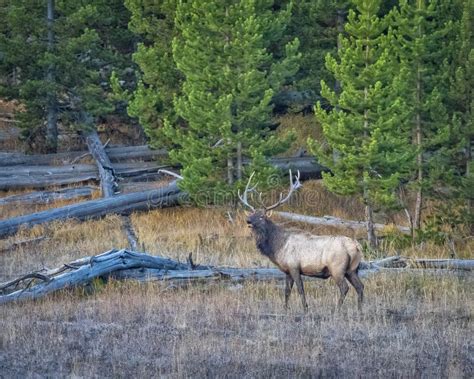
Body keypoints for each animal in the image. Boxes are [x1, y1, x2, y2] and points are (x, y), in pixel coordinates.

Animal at [239, 171, 364, 312]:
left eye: (261, 216)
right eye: (252, 213)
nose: (248, 220)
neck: (277, 247)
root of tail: (356, 246)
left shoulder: (294, 267)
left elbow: (300, 290)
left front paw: (305, 309)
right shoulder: (287, 270)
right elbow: (287, 291)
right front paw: (285, 309)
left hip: (337, 268)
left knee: (345, 288)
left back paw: (336, 310)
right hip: (352, 269)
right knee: (360, 287)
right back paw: (360, 310)